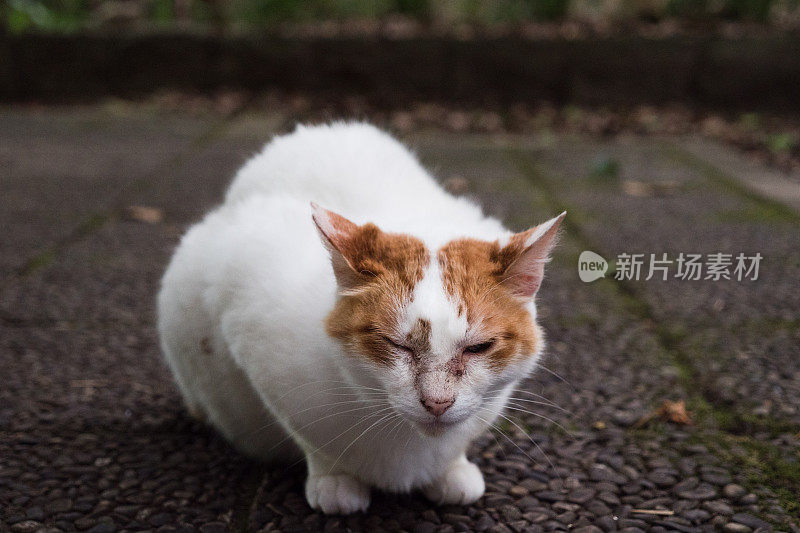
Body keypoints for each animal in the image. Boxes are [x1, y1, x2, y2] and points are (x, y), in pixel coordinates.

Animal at [156, 122, 564, 512]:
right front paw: (335, 479)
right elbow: (312, 440)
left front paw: (452, 469)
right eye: (396, 344)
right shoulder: (251, 323)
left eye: (479, 347)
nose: (437, 403)